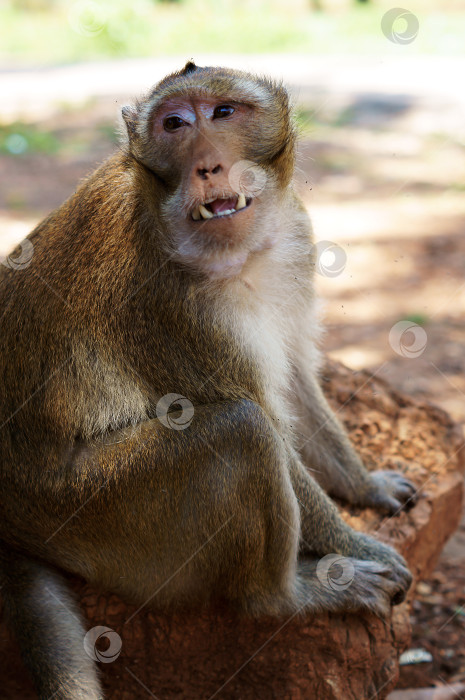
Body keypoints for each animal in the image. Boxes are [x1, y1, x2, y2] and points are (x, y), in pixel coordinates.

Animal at [0, 63, 414, 696]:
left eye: (223, 113)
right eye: (174, 124)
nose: (208, 166)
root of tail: (13, 523)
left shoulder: (295, 233)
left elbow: (296, 382)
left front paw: (366, 487)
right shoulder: (169, 304)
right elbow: (267, 424)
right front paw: (356, 544)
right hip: (102, 516)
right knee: (242, 432)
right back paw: (285, 597)